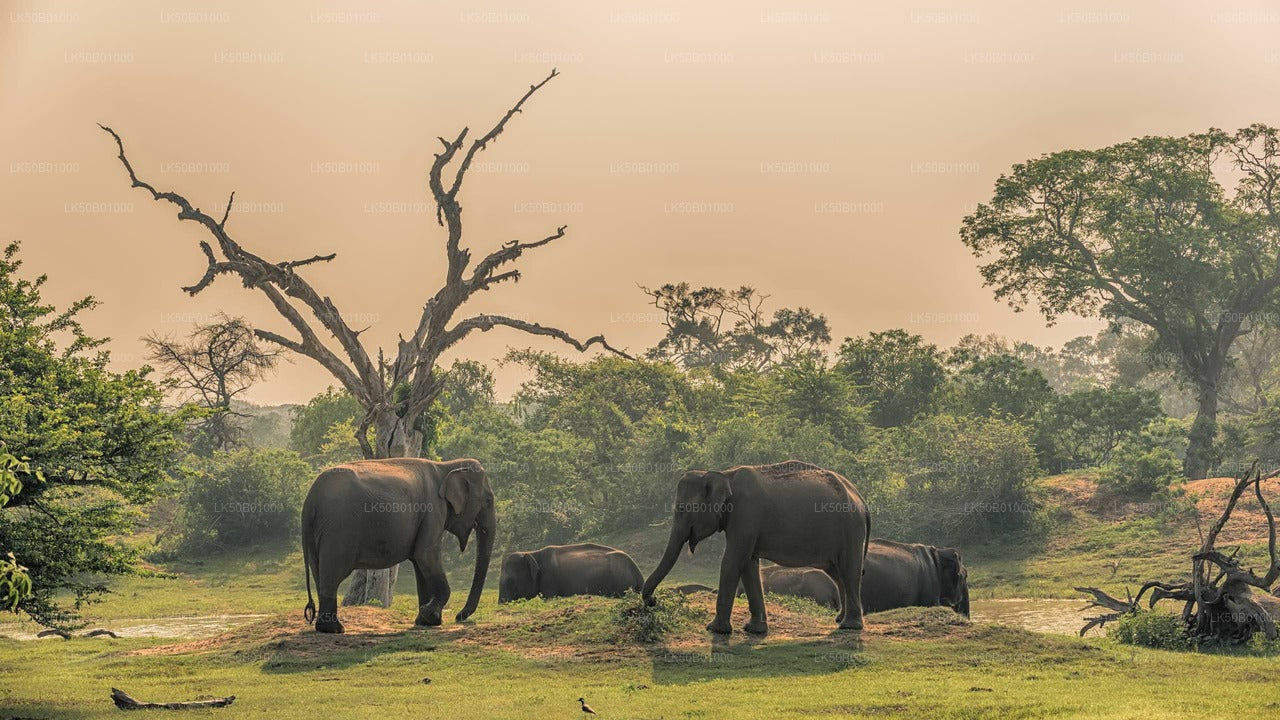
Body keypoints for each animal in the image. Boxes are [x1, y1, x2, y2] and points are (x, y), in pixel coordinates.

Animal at [301, 458, 496, 634]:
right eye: (488, 500)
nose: (458, 616)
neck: (447, 466)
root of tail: (310, 501)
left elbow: (420, 563)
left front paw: (426, 621)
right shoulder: (433, 510)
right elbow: (425, 555)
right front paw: (429, 615)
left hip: (318, 533)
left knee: (320, 574)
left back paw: (327, 627)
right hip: (338, 531)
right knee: (332, 574)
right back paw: (335, 629)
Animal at [497, 543, 643, 602]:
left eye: (510, 581)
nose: (501, 604)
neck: (534, 553)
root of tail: (637, 571)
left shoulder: (549, 579)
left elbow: (549, 598)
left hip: (622, 584)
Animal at [642, 461, 871, 635]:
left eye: (682, 508)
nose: (653, 601)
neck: (724, 474)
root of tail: (861, 498)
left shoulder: (746, 515)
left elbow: (732, 561)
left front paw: (714, 629)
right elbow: (748, 565)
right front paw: (754, 630)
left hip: (850, 528)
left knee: (849, 570)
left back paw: (849, 626)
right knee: (836, 572)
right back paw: (839, 619)